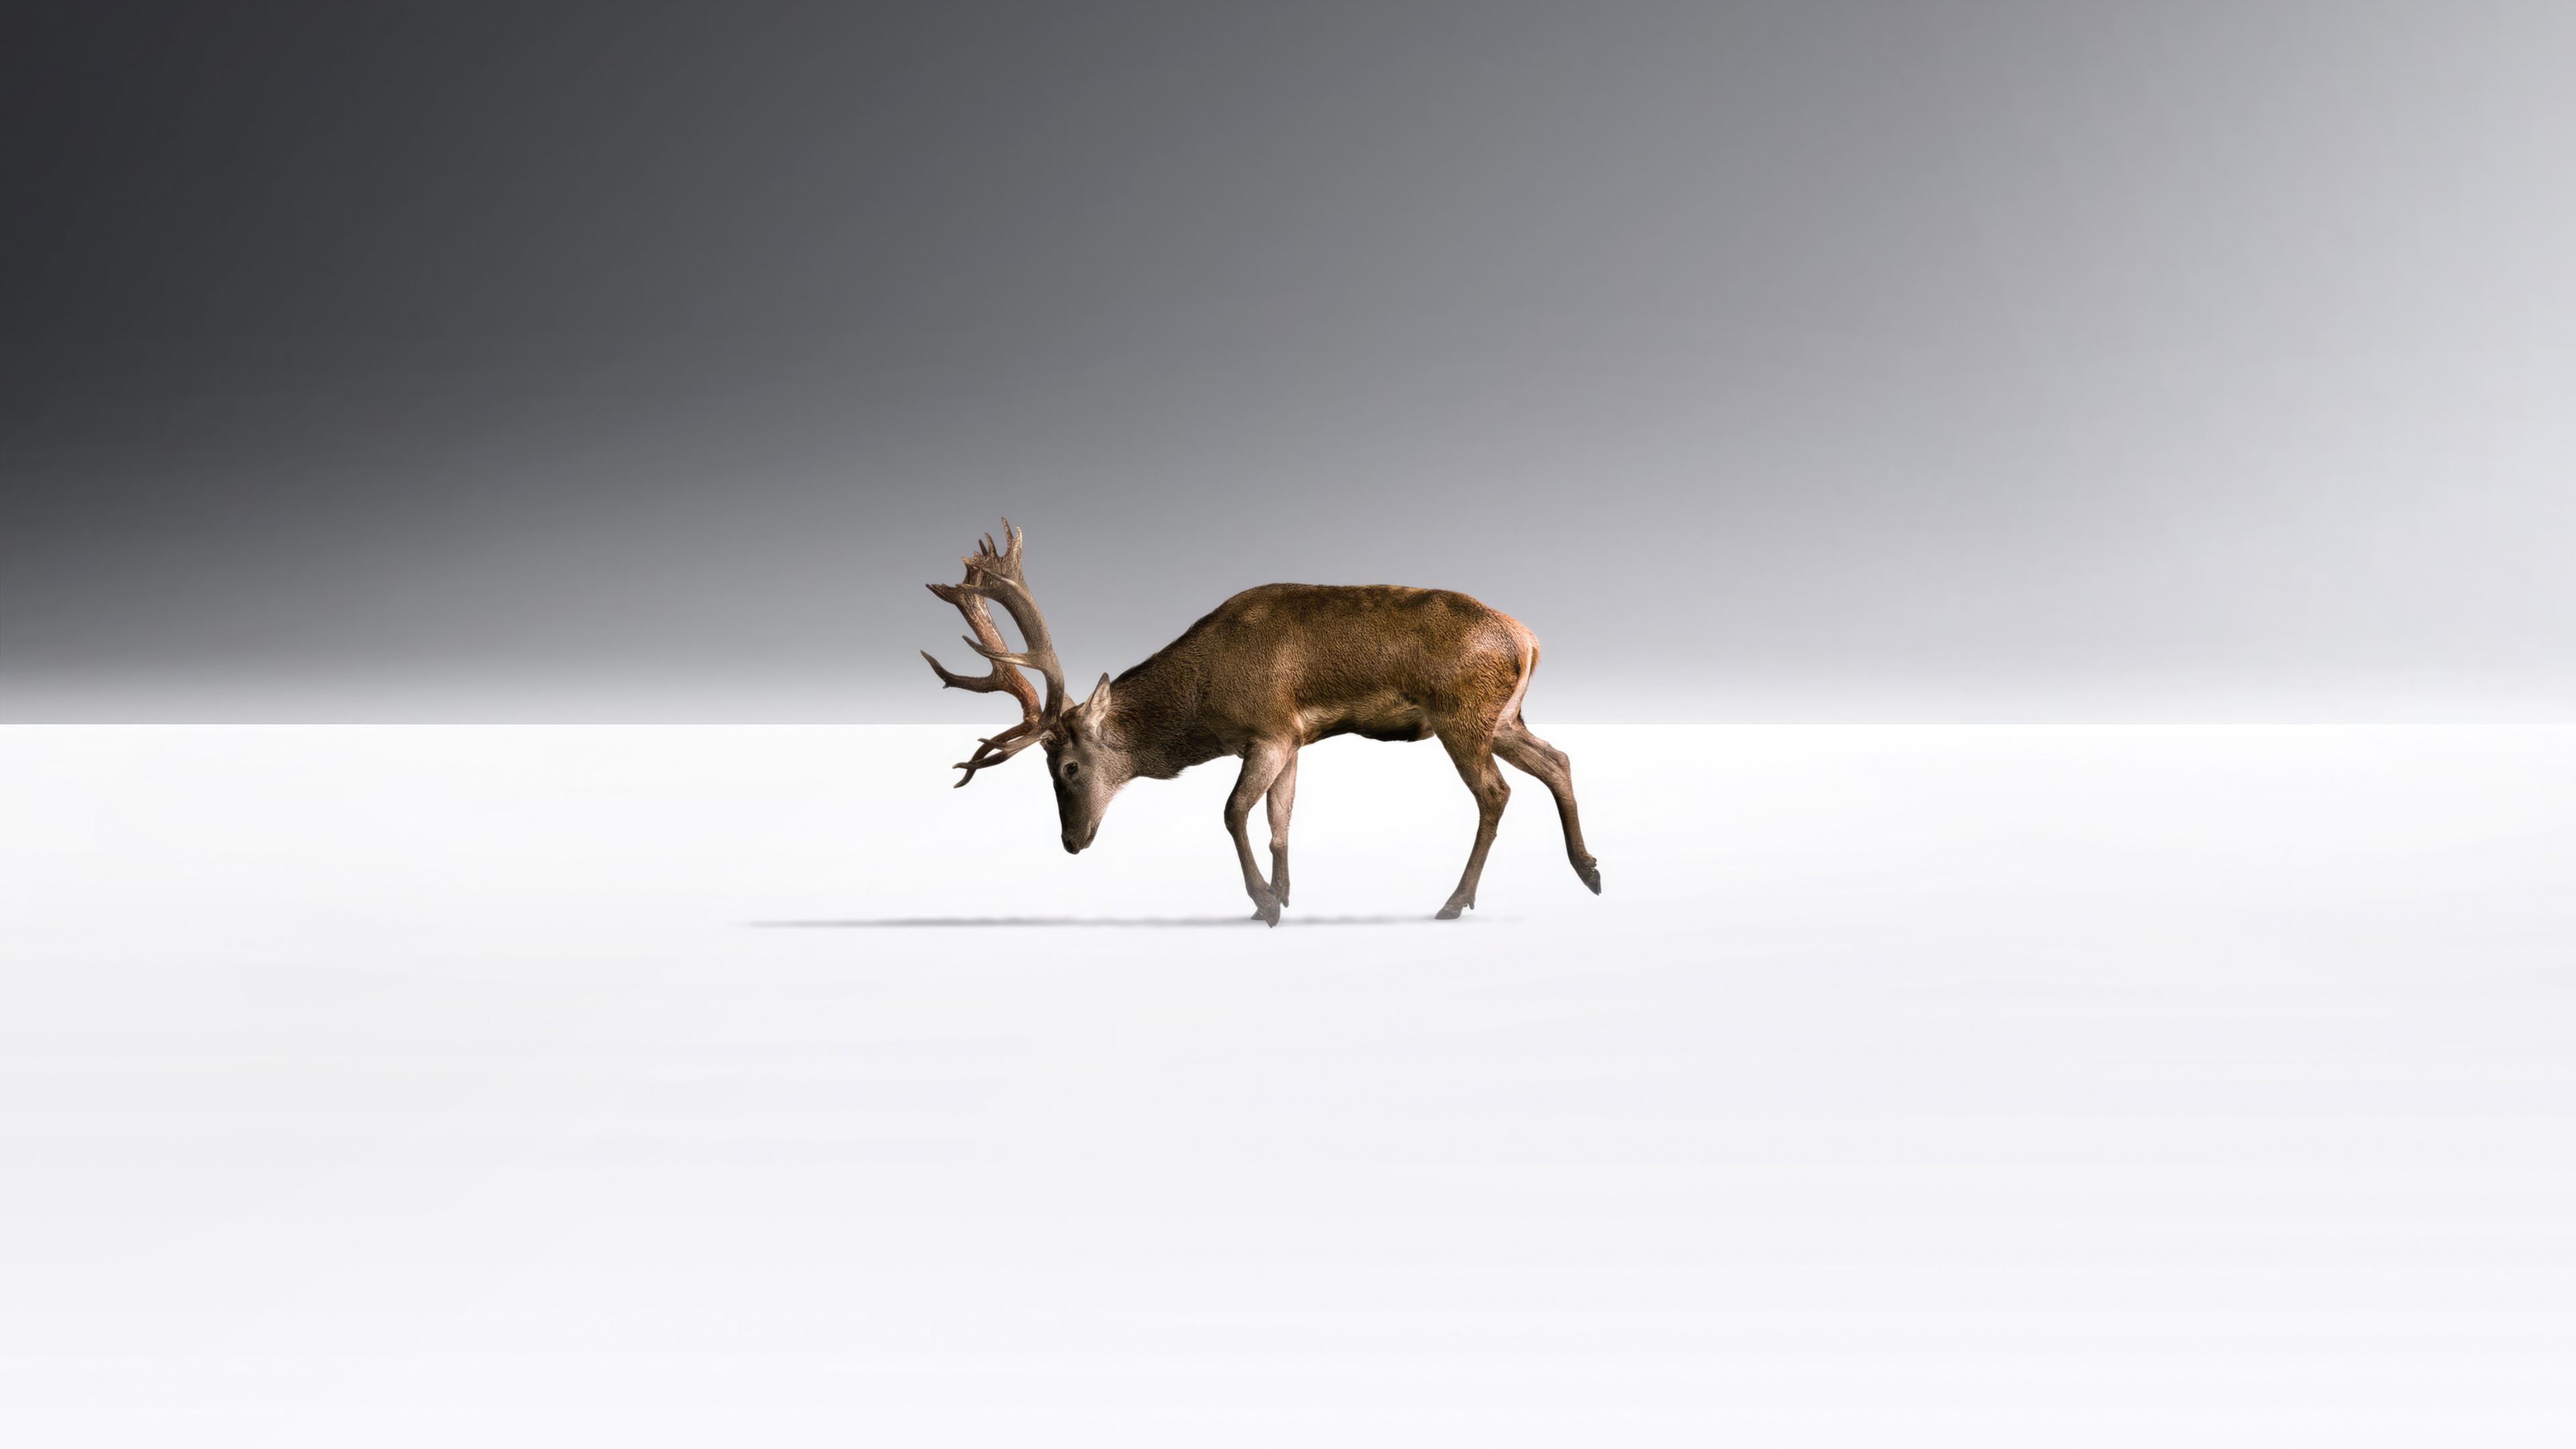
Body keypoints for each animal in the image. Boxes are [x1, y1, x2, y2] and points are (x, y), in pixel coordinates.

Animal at [921, 521, 1600, 925]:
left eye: (1066, 767)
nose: (1071, 841)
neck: (1205, 701)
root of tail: (1529, 640)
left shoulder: (1269, 729)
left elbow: (1232, 811)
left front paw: (1264, 902)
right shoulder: (1294, 739)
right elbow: (1280, 819)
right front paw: (1283, 894)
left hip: (1464, 715)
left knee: (1496, 792)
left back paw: (1455, 902)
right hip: (1503, 718)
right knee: (1558, 760)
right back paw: (1589, 870)